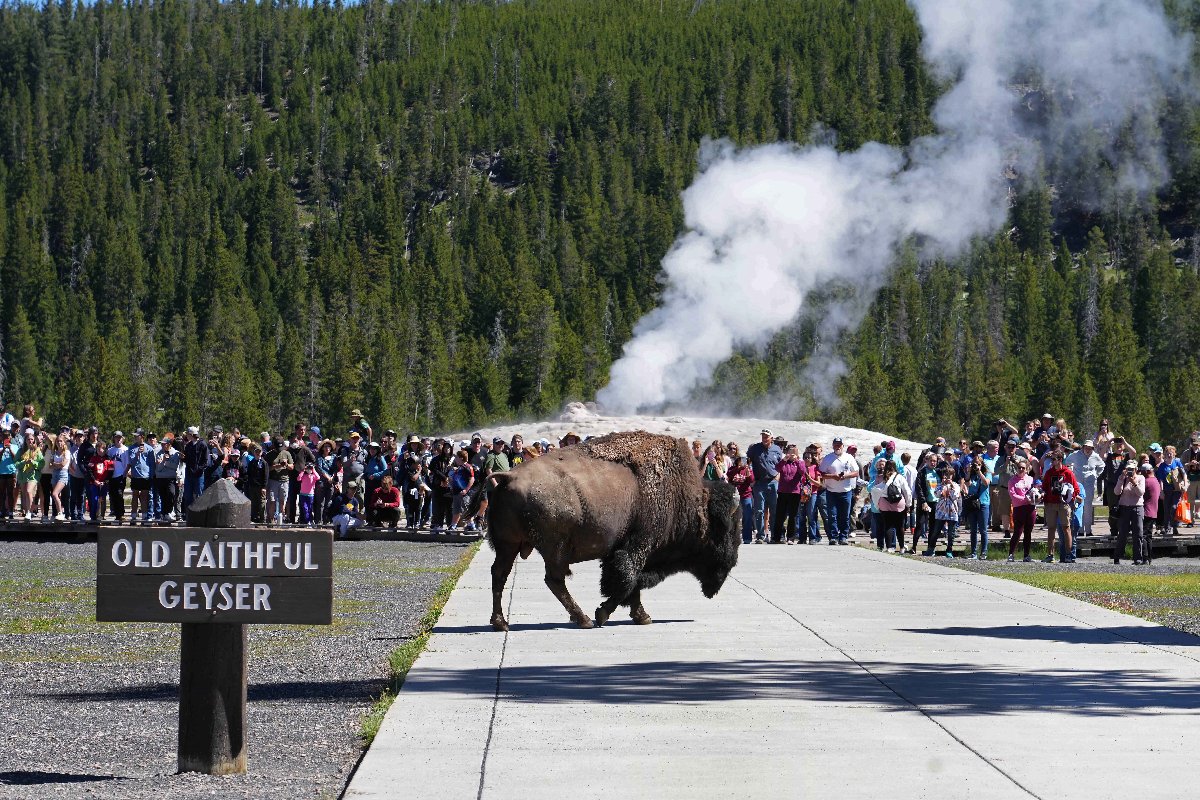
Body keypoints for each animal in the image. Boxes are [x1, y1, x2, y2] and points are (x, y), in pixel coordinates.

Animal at [468, 431, 739, 633]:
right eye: (727, 530)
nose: (731, 562)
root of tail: (507, 477)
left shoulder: (624, 551)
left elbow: (631, 584)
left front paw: (642, 616)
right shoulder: (639, 547)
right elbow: (626, 581)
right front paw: (603, 614)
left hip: (509, 545)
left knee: (500, 574)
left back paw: (501, 623)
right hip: (554, 549)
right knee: (553, 579)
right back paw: (584, 619)